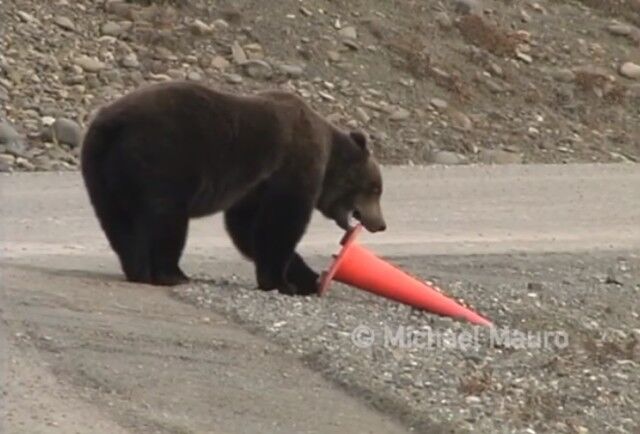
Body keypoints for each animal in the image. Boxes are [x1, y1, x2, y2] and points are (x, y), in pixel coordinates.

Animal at [80, 80, 384, 294]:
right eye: (376, 189)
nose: (381, 224)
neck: (329, 156)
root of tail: (112, 123)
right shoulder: (292, 166)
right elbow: (281, 222)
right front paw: (282, 282)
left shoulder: (253, 188)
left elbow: (247, 229)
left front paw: (307, 279)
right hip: (164, 157)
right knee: (167, 218)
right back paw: (171, 273)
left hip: (102, 168)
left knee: (118, 221)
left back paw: (138, 269)